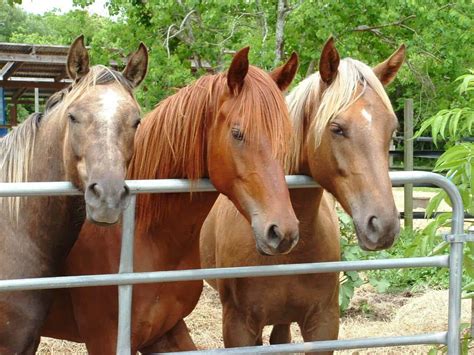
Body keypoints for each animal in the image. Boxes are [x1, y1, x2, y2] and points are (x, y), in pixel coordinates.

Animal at [41, 48, 300, 355]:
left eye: (286, 138)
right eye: (237, 133)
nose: (282, 232)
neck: (146, 234)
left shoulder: (166, 330)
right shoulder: (107, 339)